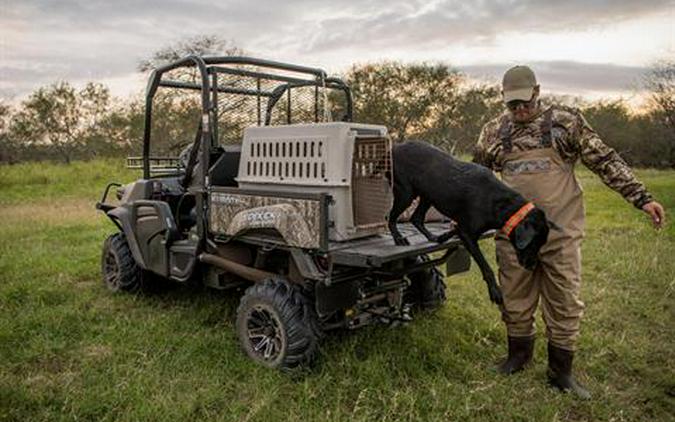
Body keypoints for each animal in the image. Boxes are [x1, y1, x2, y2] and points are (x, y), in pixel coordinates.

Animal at [390, 141, 556, 304]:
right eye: (533, 243)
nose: (531, 267)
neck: (498, 202)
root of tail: (395, 148)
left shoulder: (463, 227)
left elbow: (455, 229)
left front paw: (444, 236)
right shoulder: (468, 235)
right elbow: (486, 266)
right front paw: (495, 291)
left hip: (427, 196)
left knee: (416, 218)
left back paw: (433, 237)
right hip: (406, 193)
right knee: (391, 218)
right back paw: (398, 238)